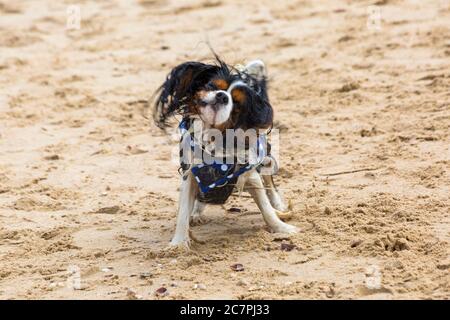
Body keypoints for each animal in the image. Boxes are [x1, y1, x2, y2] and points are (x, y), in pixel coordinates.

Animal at [153, 54, 298, 248]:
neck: (214, 136)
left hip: (266, 158)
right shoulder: (191, 174)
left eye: (236, 103)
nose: (222, 96)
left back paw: (278, 205)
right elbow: (183, 212)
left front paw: (282, 228)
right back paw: (197, 213)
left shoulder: (248, 174)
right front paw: (178, 244)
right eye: (211, 86)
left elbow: (266, 207)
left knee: (269, 182)